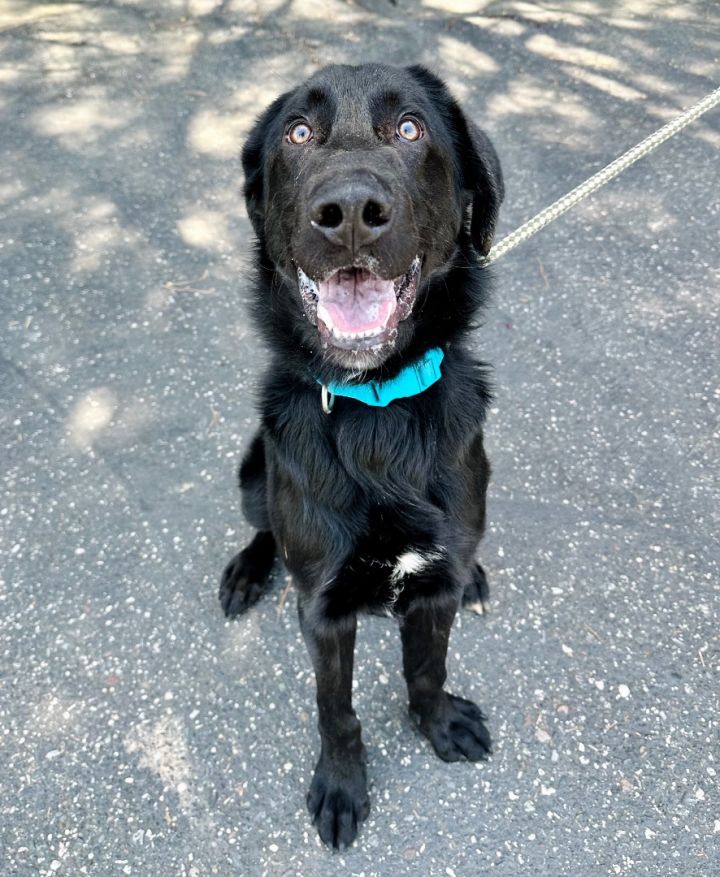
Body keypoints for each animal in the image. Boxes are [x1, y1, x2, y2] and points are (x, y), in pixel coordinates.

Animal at [217, 63, 504, 848]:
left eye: (410, 128)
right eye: (297, 133)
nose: (348, 210)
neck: (378, 408)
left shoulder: (431, 588)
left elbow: (428, 668)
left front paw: (438, 722)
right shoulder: (322, 610)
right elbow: (336, 712)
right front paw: (343, 785)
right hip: (252, 469)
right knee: (263, 526)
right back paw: (248, 570)